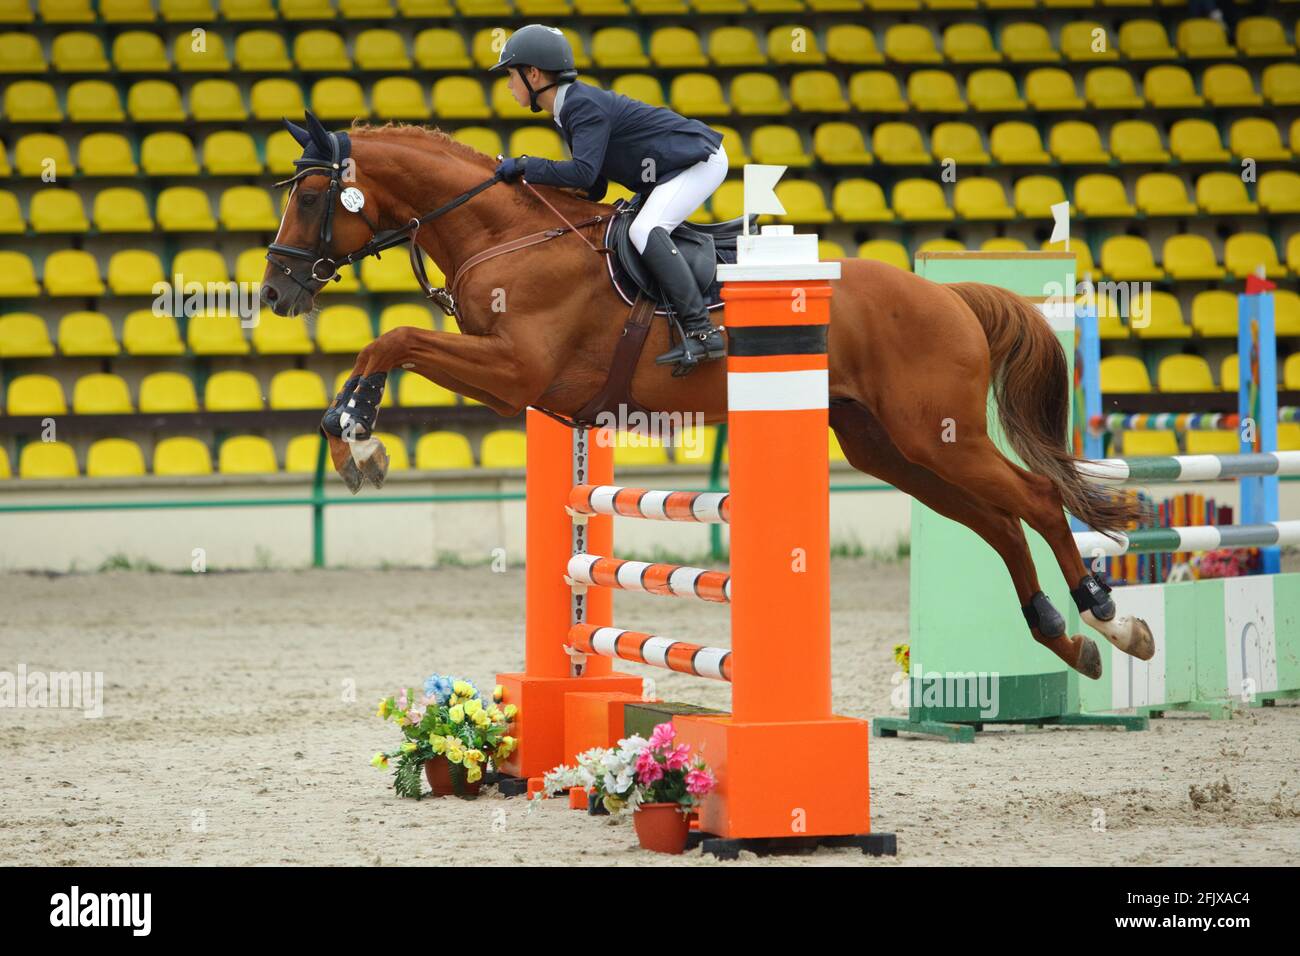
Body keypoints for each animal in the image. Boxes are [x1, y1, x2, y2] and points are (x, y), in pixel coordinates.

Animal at [258, 113, 1154, 681]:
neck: (506, 234)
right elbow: (391, 342)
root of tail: (947, 295)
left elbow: (395, 338)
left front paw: (359, 437)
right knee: (995, 521)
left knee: (1032, 498)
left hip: (939, 435)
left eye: (311, 197)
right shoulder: (514, 380)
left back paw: (1107, 616)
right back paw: (1067, 639)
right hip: (891, 447)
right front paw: (351, 436)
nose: (275, 293)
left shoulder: (517, 372)